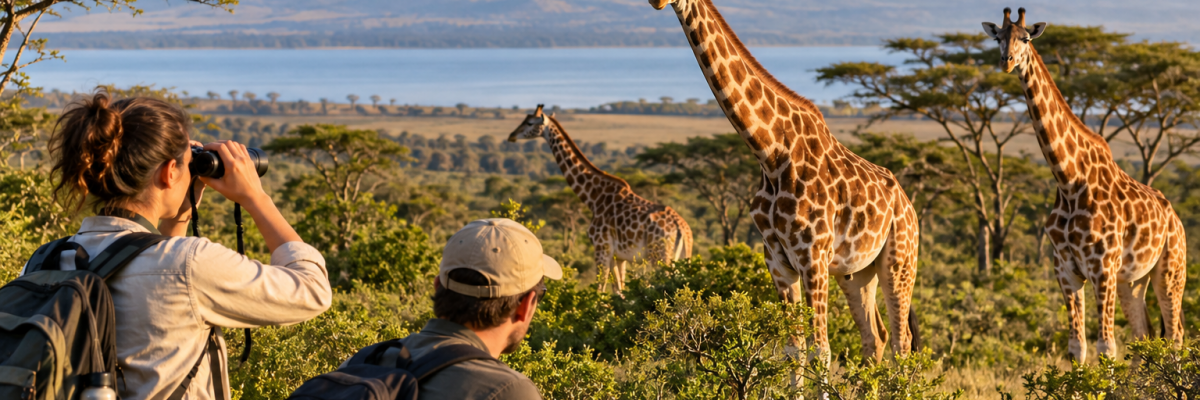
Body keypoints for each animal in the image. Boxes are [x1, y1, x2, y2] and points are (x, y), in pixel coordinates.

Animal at [507, 105, 694, 296]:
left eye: (529, 122)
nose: (511, 135)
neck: (593, 197)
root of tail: (682, 228)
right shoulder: (619, 256)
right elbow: (619, 291)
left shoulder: (601, 248)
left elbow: (600, 289)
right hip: (681, 257)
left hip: (659, 256)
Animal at [649, 0, 921, 363]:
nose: (657, 2)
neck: (771, 154)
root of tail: (907, 204)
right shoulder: (778, 263)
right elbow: (794, 350)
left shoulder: (813, 258)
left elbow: (821, 350)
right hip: (857, 272)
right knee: (875, 337)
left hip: (899, 262)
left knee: (902, 342)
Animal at [983, 7, 1186, 363]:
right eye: (998, 38)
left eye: (1026, 38)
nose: (1006, 62)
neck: (1068, 182)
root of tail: (1176, 218)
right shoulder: (1065, 270)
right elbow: (1077, 347)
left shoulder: (1102, 268)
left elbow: (1107, 347)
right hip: (1133, 281)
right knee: (1144, 335)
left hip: (1170, 271)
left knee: (1174, 336)